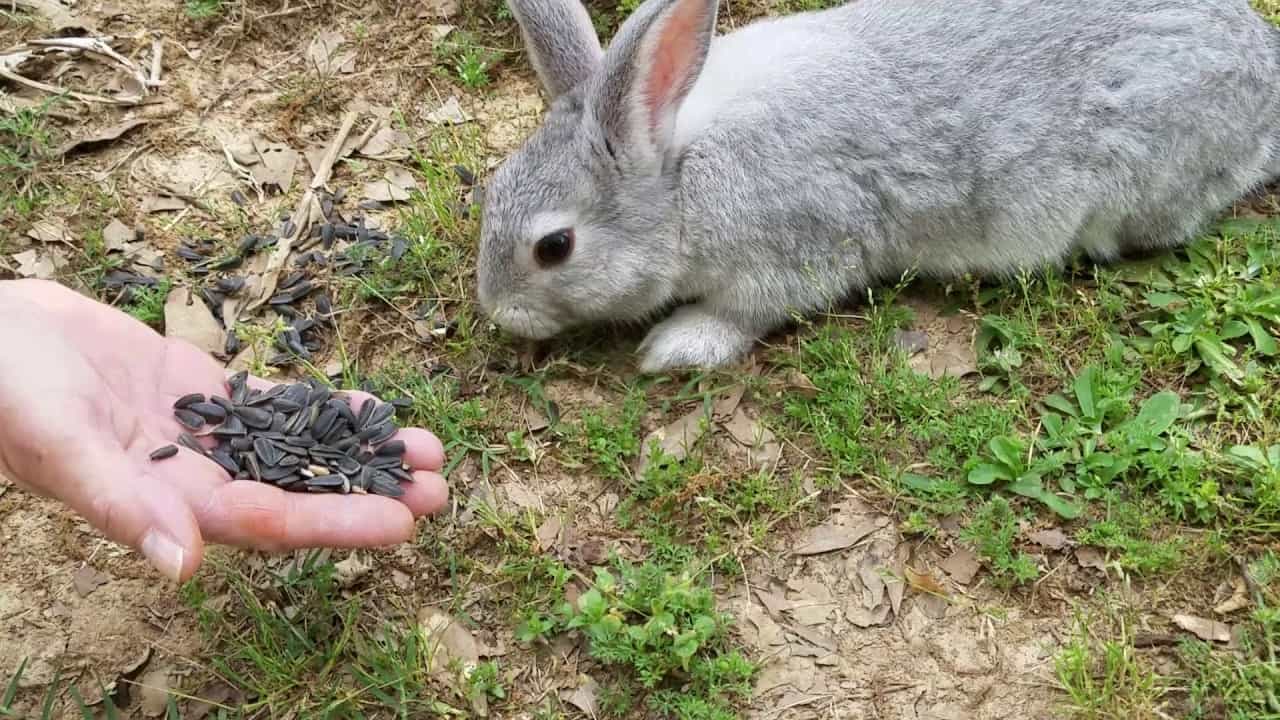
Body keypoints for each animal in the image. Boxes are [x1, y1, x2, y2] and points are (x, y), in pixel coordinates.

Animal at [476, 0, 1280, 368]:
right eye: (493, 187)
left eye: (554, 247)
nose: (500, 314)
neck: (680, 171)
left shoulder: (795, 251)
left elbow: (744, 313)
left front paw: (674, 347)